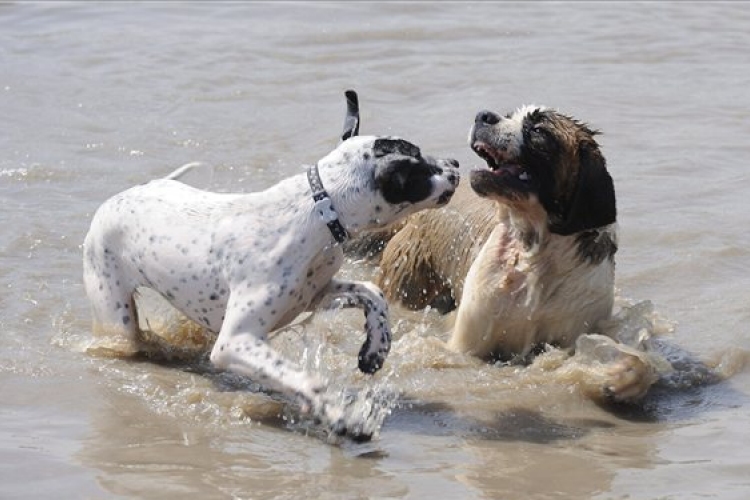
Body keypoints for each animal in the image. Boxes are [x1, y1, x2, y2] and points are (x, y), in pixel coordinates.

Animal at [81, 92, 458, 440]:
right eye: (420, 164)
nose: (455, 163)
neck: (319, 210)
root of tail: (122, 196)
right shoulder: (234, 343)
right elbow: (306, 380)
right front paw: (341, 416)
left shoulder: (315, 294)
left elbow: (373, 293)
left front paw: (375, 349)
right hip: (116, 316)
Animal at [376, 105, 656, 402]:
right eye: (509, 115)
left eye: (538, 130)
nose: (484, 115)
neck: (534, 252)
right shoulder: (468, 340)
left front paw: (622, 375)